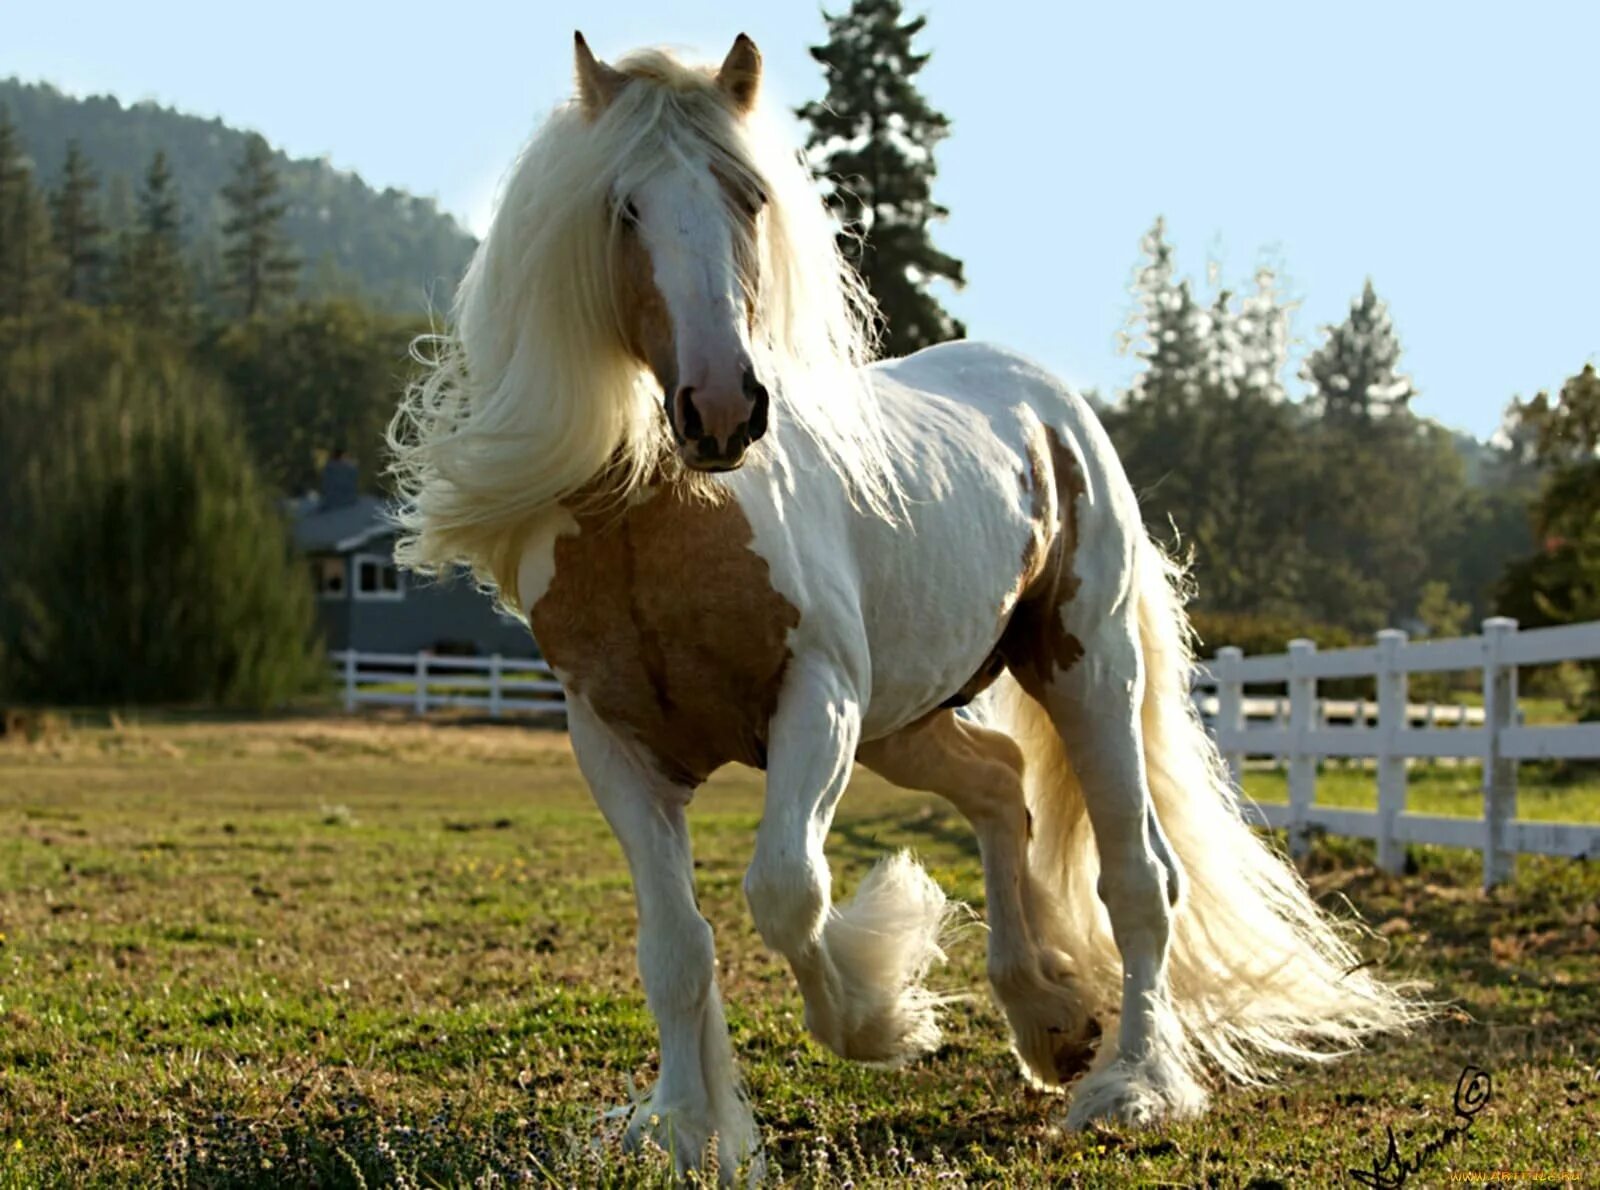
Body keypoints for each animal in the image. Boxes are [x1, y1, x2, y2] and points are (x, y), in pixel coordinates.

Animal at [390, 32, 1427, 1183]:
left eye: (750, 194)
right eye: (623, 207)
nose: (722, 407)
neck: (663, 524)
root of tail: (1046, 397)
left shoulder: (818, 700)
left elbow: (787, 890)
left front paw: (881, 1013)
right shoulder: (612, 741)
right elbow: (675, 946)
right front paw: (689, 1130)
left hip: (1084, 670)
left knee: (1137, 875)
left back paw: (1129, 1084)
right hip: (909, 717)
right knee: (1002, 787)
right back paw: (1051, 1020)